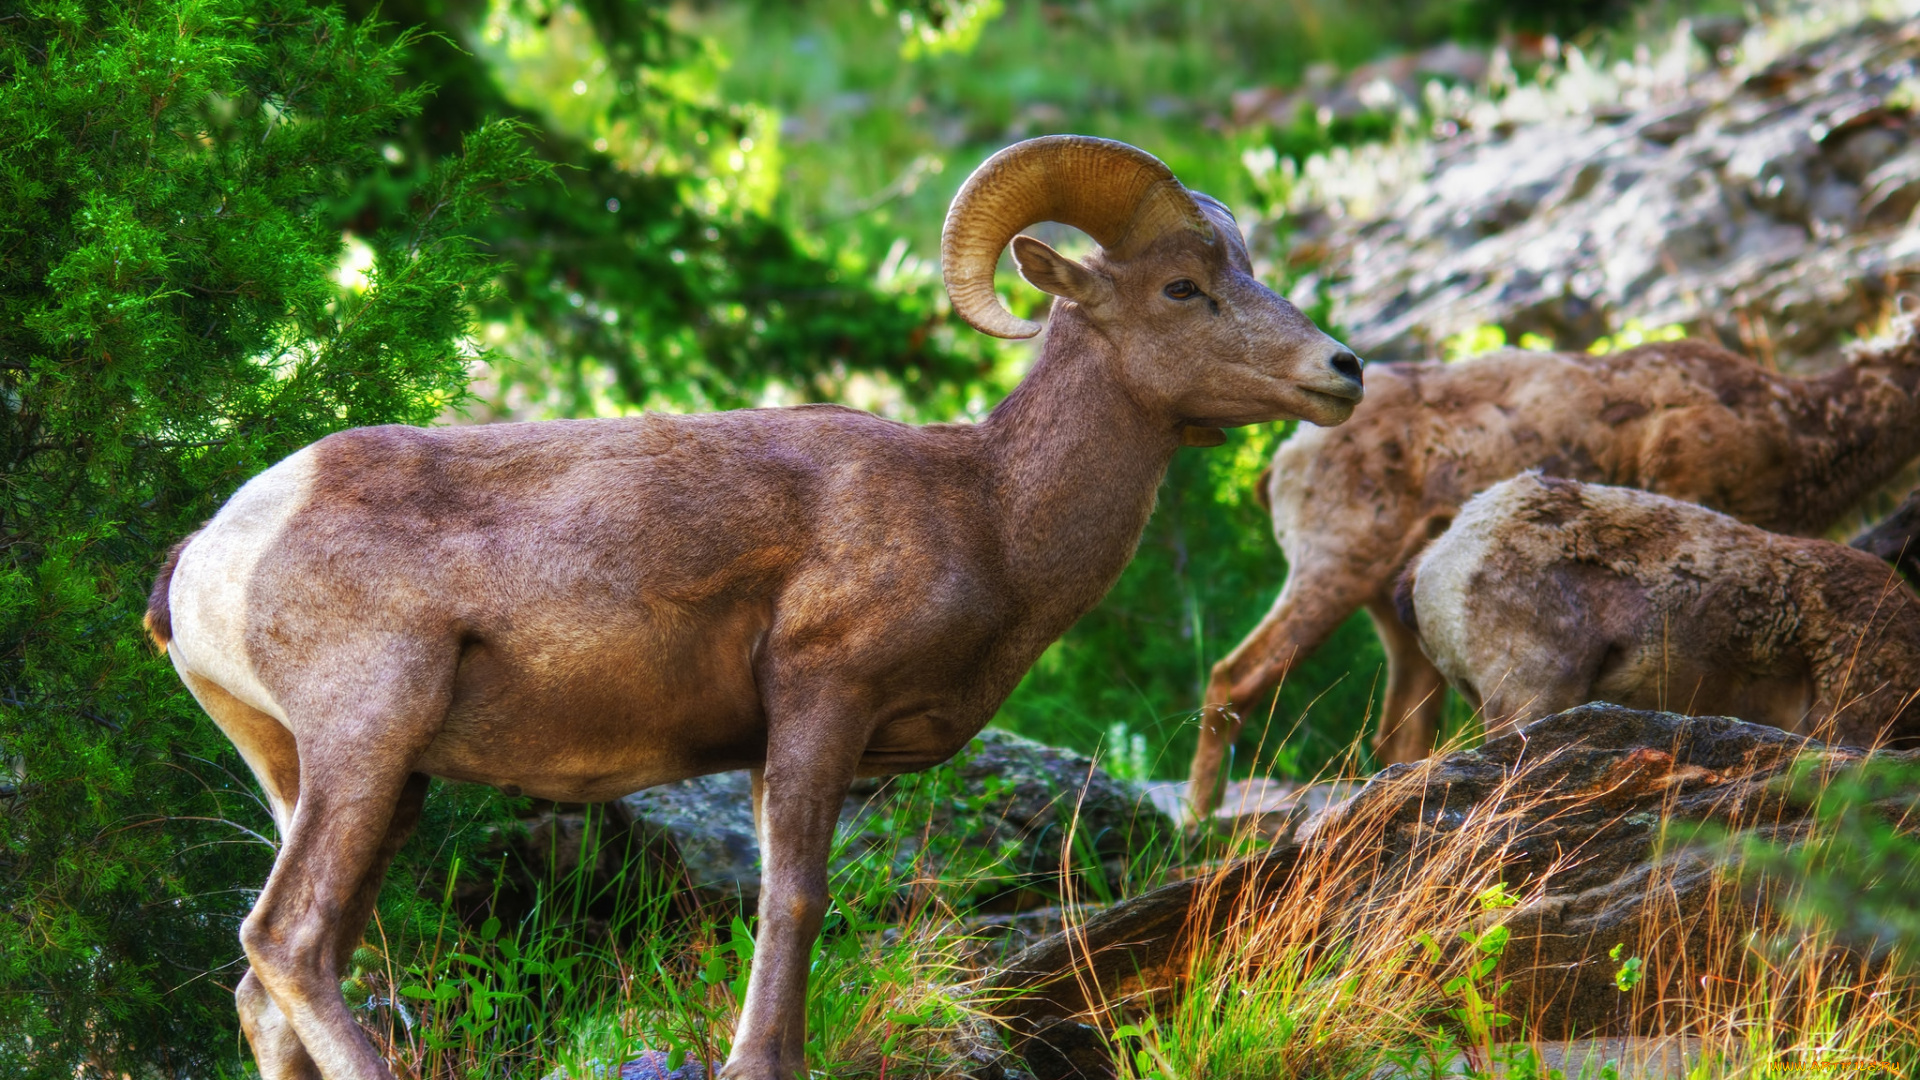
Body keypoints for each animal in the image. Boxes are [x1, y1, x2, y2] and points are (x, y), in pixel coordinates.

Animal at [144, 135, 1365, 1080]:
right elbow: (797, 897)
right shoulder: (821, 698)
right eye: (1181, 289)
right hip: (366, 740)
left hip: (346, 783)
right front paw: (762, 1059)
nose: (1342, 369)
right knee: (290, 941)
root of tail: (211, 550)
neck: (986, 511)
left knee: (272, 982)